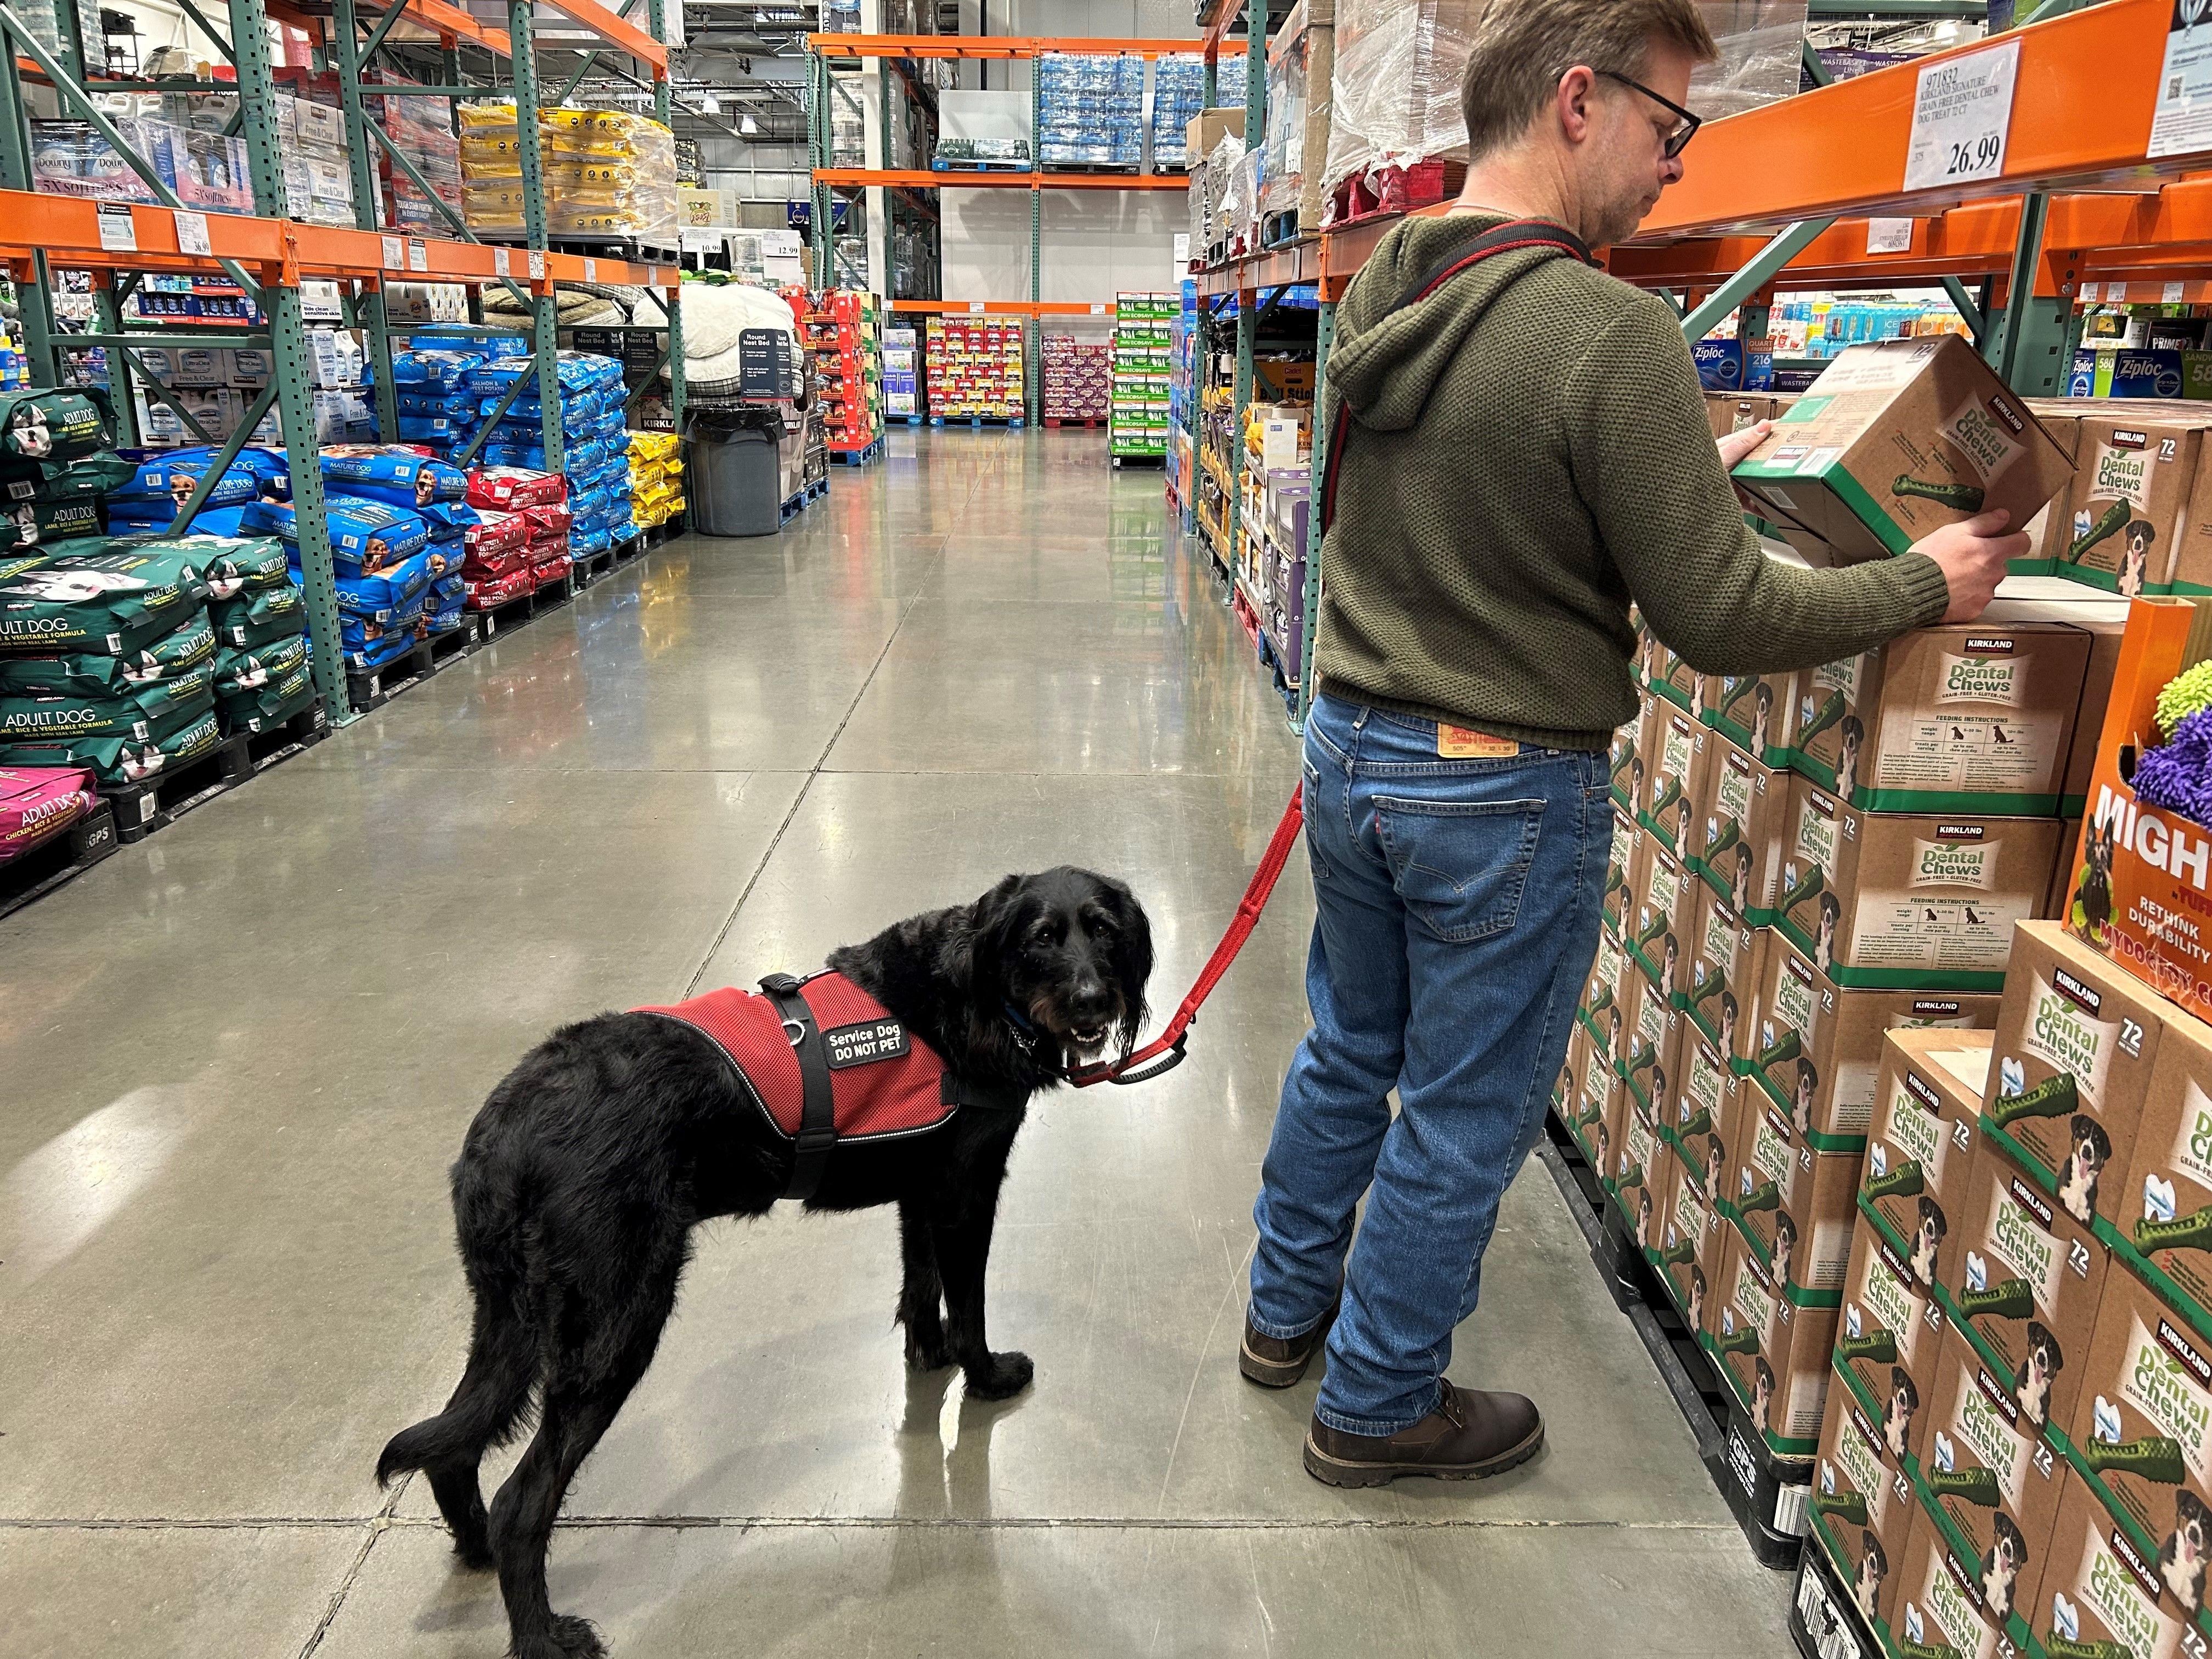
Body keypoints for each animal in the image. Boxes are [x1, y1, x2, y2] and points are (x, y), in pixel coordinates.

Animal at [376, 871, 1159, 1659]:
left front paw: (927, 1356)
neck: (972, 989)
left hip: (507, 1320)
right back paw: (541, 1634)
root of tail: (500, 1137)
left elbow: (920, 1288)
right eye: (1041, 938)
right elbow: (967, 1306)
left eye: (1104, 931)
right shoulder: (967, 1194)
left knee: (453, 1442)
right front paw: (987, 1376)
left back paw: (476, 1544)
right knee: (522, 1501)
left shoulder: (923, 1190)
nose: (1094, 1001)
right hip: (615, 1326)